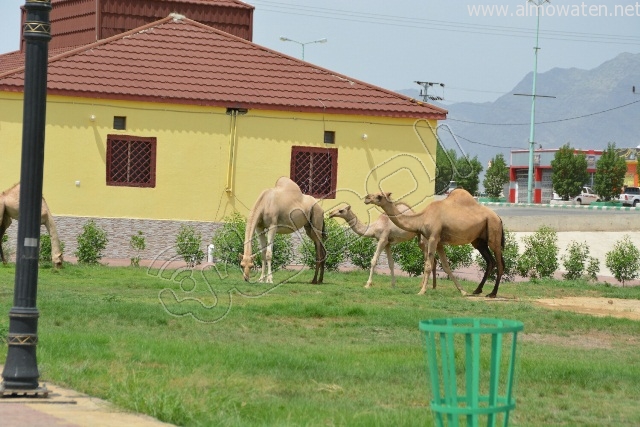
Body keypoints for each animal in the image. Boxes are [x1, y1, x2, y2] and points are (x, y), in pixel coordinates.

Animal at [364, 190, 504, 298]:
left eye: (379, 196)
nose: (366, 198)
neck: (421, 219)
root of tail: (498, 217)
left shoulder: (433, 237)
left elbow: (428, 265)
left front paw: (422, 291)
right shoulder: (439, 242)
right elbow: (446, 266)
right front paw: (463, 291)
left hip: (494, 233)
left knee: (500, 263)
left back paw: (493, 293)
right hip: (479, 241)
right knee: (490, 262)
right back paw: (477, 290)